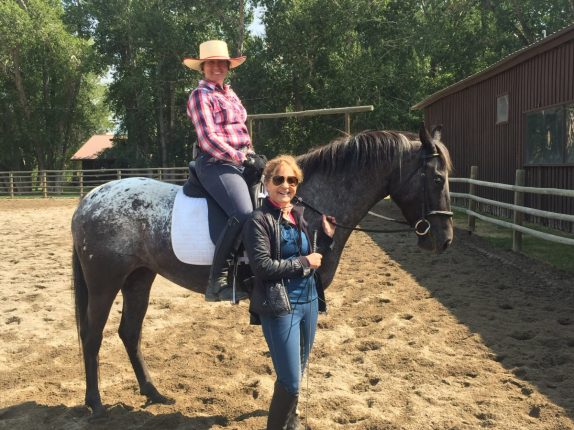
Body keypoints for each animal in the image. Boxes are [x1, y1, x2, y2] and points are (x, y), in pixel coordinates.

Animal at [71, 124, 453, 418]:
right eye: (437, 178)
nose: (444, 239)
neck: (306, 205)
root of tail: (90, 199)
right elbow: (293, 357)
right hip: (105, 283)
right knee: (92, 337)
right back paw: (96, 404)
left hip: (139, 278)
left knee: (130, 333)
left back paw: (153, 393)